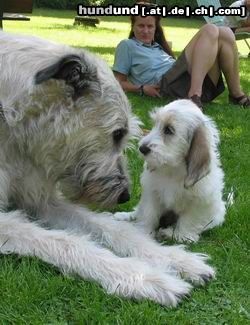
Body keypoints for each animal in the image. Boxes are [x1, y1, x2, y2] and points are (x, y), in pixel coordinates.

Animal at [0, 31, 215, 306]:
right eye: (118, 133)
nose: (124, 196)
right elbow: (64, 241)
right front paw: (143, 277)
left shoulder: (42, 200)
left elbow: (113, 228)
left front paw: (177, 259)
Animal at [115, 100, 227, 242]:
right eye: (155, 124)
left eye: (168, 130)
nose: (142, 148)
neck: (173, 169)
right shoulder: (152, 193)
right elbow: (148, 213)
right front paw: (143, 232)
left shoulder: (200, 202)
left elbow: (189, 220)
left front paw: (178, 235)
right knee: (138, 211)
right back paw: (125, 216)